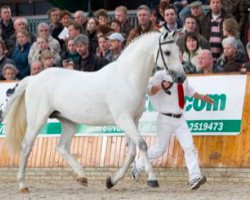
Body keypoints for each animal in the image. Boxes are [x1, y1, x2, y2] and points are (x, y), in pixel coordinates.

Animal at [3, 31, 186, 192]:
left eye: (178, 51)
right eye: (168, 52)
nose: (181, 77)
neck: (127, 78)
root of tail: (34, 79)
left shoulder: (133, 120)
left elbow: (131, 151)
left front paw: (111, 181)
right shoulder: (123, 119)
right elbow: (141, 144)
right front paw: (152, 179)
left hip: (69, 122)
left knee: (62, 147)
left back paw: (82, 177)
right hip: (37, 120)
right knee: (26, 147)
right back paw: (23, 185)